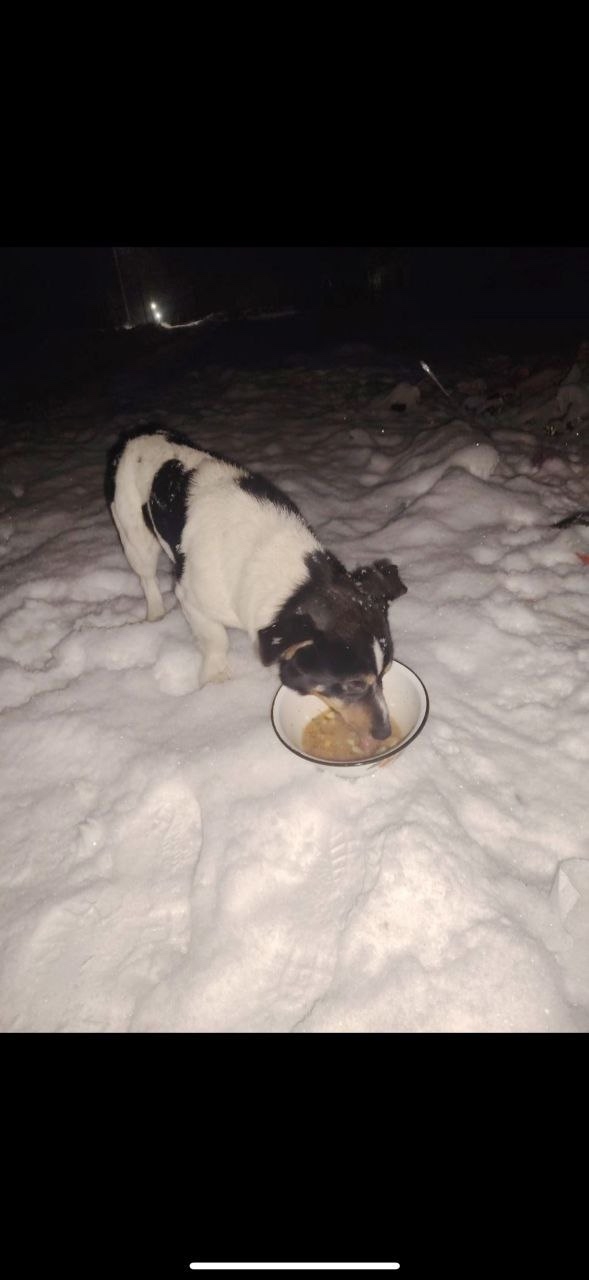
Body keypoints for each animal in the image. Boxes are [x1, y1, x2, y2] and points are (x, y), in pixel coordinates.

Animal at [105, 426, 407, 745]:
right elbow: (216, 640)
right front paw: (215, 680)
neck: (287, 572)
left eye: (386, 673)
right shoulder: (191, 599)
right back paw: (154, 615)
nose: (385, 733)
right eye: (353, 685)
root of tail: (138, 435)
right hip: (135, 535)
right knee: (147, 576)